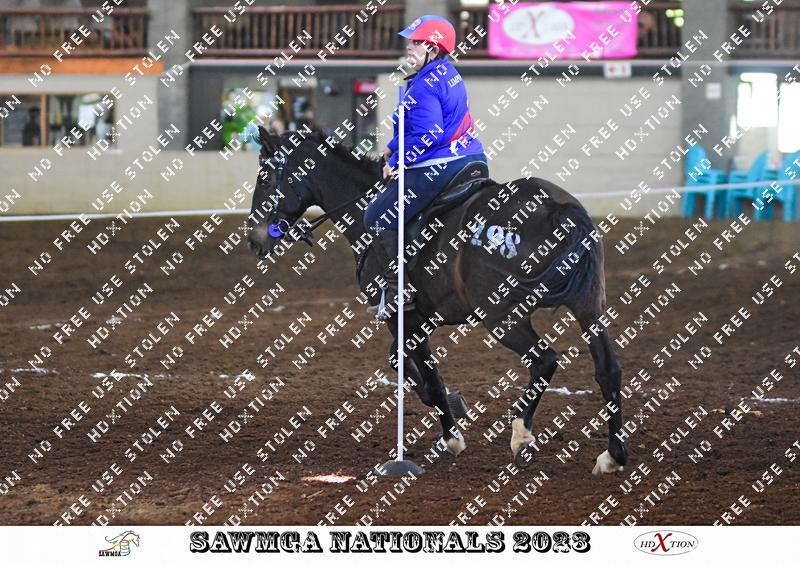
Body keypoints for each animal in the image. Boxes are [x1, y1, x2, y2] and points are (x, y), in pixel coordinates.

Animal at [247, 126, 627, 476]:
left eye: (264, 179)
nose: (254, 241)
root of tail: (556, 210)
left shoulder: (402, 319)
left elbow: (428, 380)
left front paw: (452, 436)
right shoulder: (420, 320)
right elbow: (403, 364)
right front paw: (455, 409)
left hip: (504, 316)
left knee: (545, 361)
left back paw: (521, 434)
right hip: (589, 307)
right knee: (608, 370)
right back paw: (612, 455)